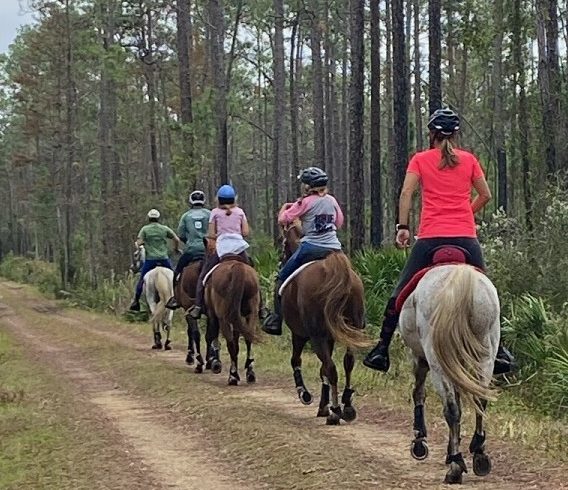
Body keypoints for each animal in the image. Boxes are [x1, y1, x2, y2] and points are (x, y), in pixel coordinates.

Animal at [203, 238, 260, 386]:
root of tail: (237, 268)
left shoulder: (213, 314)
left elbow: (213, 334)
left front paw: (215, 362)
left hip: (223, 317)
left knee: (229, 342)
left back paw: (233, 375)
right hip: (251, 313)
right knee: (248, 337)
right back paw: (250, 372)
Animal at [280, 223, 368, 424]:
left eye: (283, 243)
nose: (281, 261)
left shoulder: (300, 334)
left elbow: (296, 360)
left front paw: (305, 395)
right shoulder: (330, 337)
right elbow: (323, 371)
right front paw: (323, 406)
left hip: (315, 336)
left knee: (331, 368)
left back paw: (336, 411)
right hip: (350, 329)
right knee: (347, 362)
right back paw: (347, 406)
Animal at [400, 264, 496, 482]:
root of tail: (462, 278)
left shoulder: (419, 357)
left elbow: (419, 393)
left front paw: (420, 441)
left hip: (436, 360)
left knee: (451, 409)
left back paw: (455, 464)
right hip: (485, 354)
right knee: (480, 399)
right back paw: (479, 453)